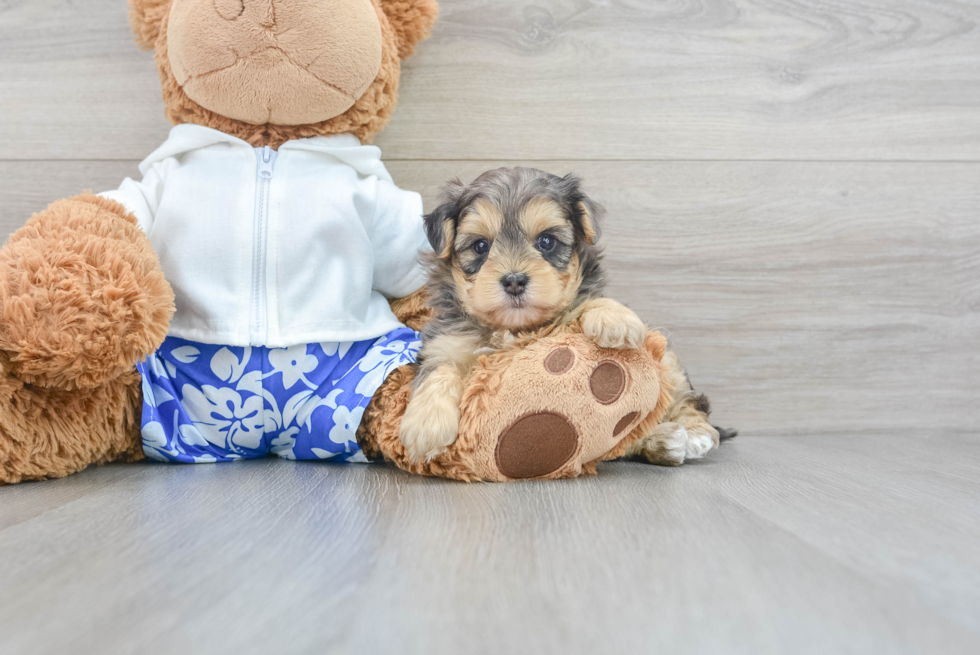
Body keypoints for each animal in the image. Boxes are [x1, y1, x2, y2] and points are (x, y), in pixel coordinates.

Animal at [400, 169, 736, 466]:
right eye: (480, 246)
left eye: (546, 241)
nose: (514, 281)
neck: (516, 328)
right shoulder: (445, 340)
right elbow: (440, 368)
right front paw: (426, 424)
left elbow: (585, 301)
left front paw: (614, 317)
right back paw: (663, 440)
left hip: (670, 364)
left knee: (687, 403)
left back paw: (690, 435)